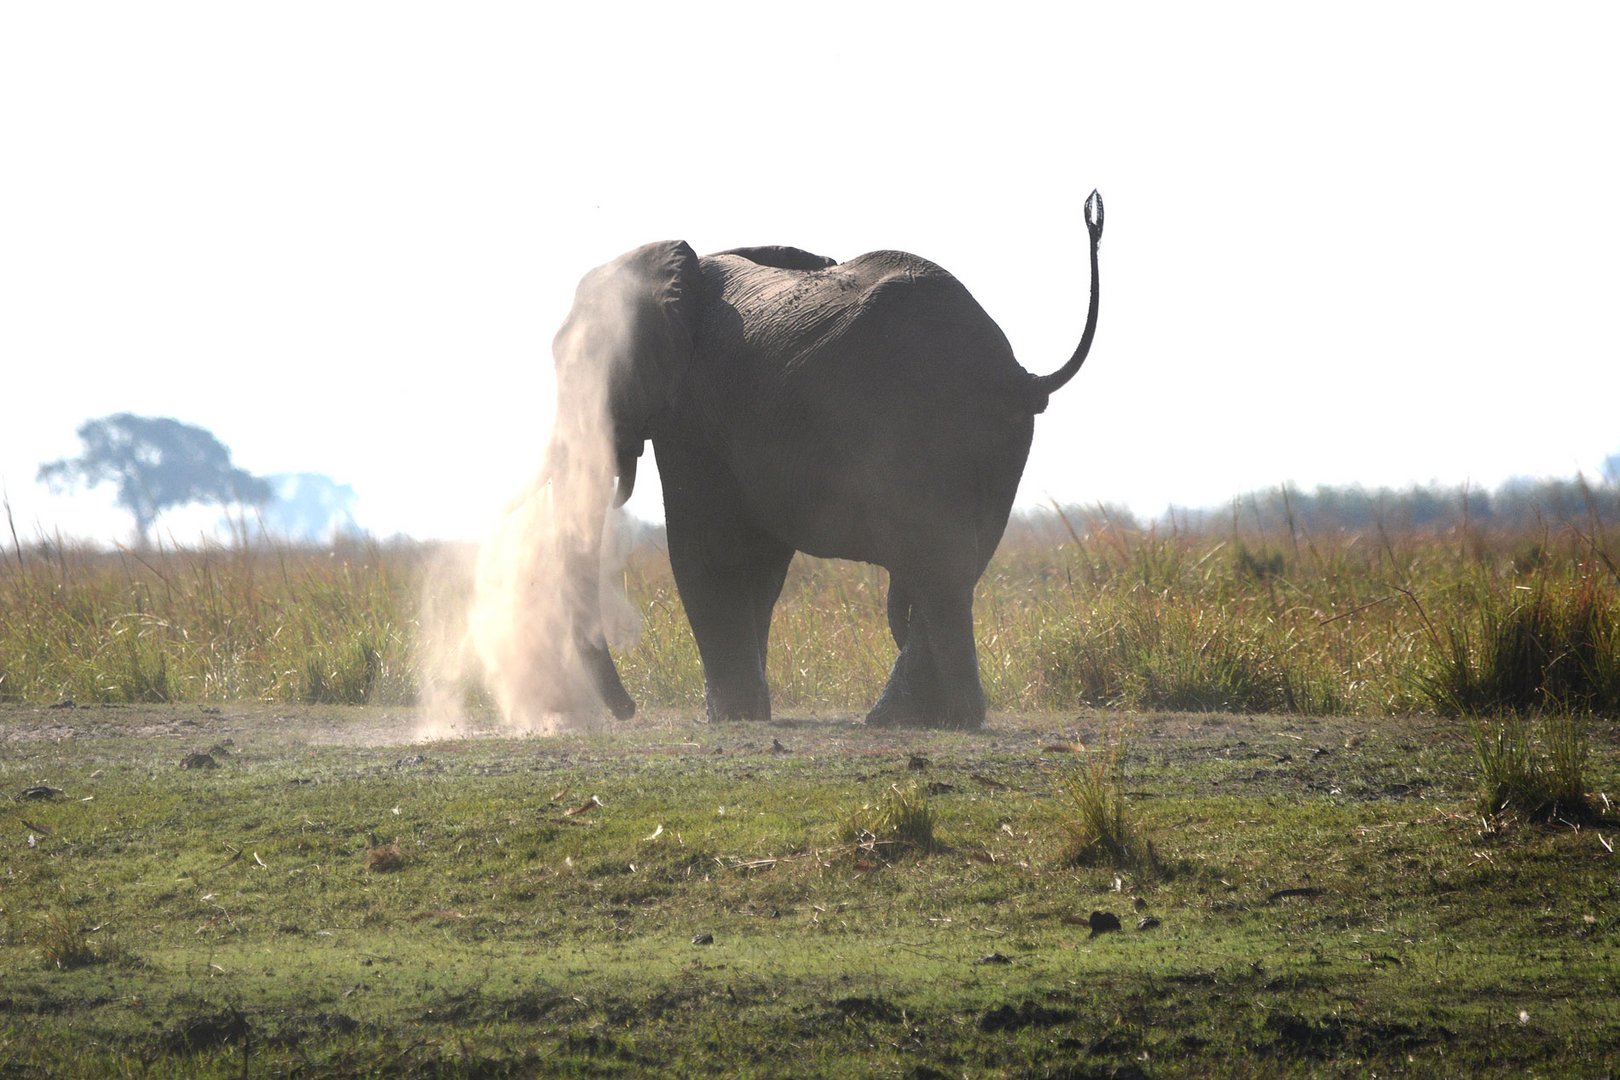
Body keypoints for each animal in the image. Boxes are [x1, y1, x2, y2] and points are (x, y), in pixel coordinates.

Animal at [544, 190, 1101, 731]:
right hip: (997, 444)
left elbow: (705, 547)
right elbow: (762, 561)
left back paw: (926, 719)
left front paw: (731, 717)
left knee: (937, 560)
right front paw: (747, 711)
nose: (629, 711)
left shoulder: (694, 413)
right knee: (962, 560)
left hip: (914, 421)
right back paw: (918, 718)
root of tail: (1015, 372)